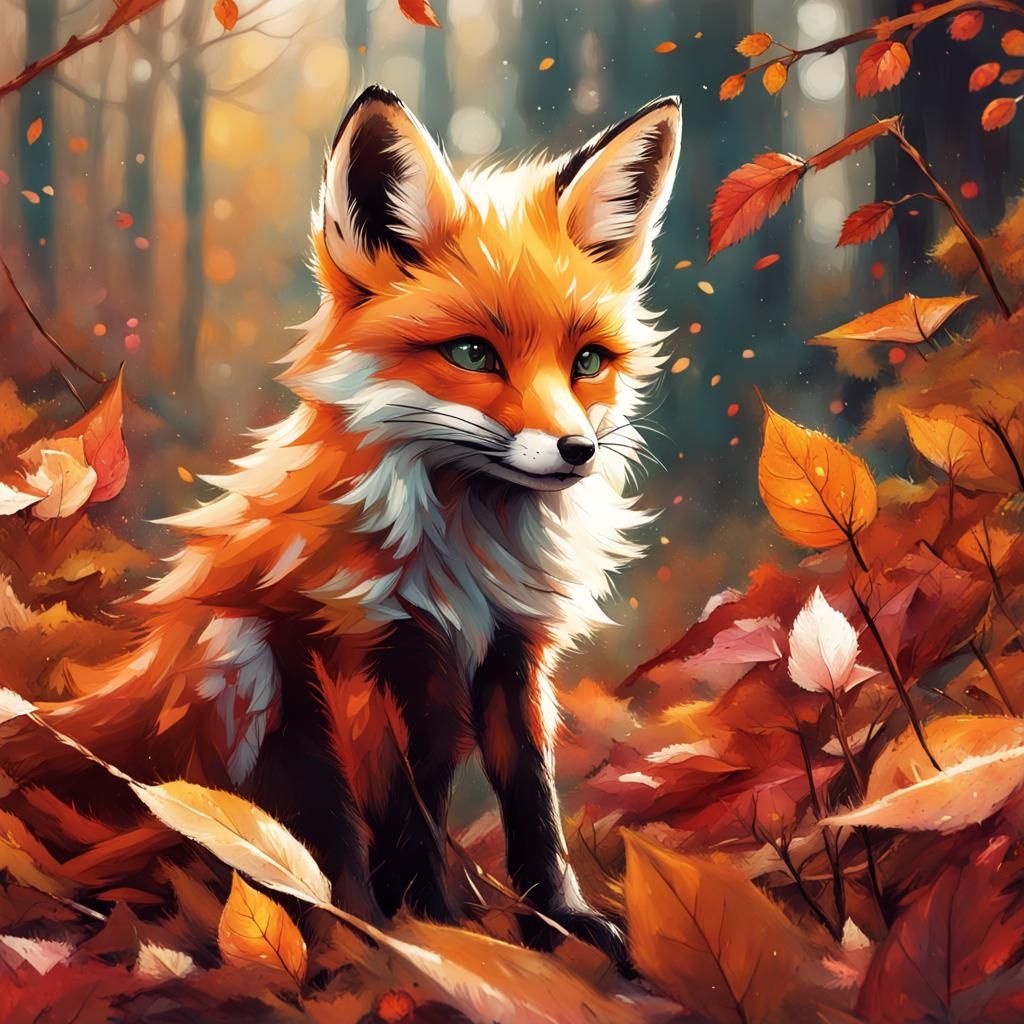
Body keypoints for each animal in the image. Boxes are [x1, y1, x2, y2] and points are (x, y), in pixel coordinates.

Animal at [3, 86, 681, 966]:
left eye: (588, 363)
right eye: (473, 354)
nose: (577, 450)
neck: (465, 559)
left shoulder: (515, 655)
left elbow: (534, 806)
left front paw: (560, 924)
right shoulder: (361, 655)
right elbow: (399, 821)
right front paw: (434, 935)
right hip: (243, 667)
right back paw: (342, 927)